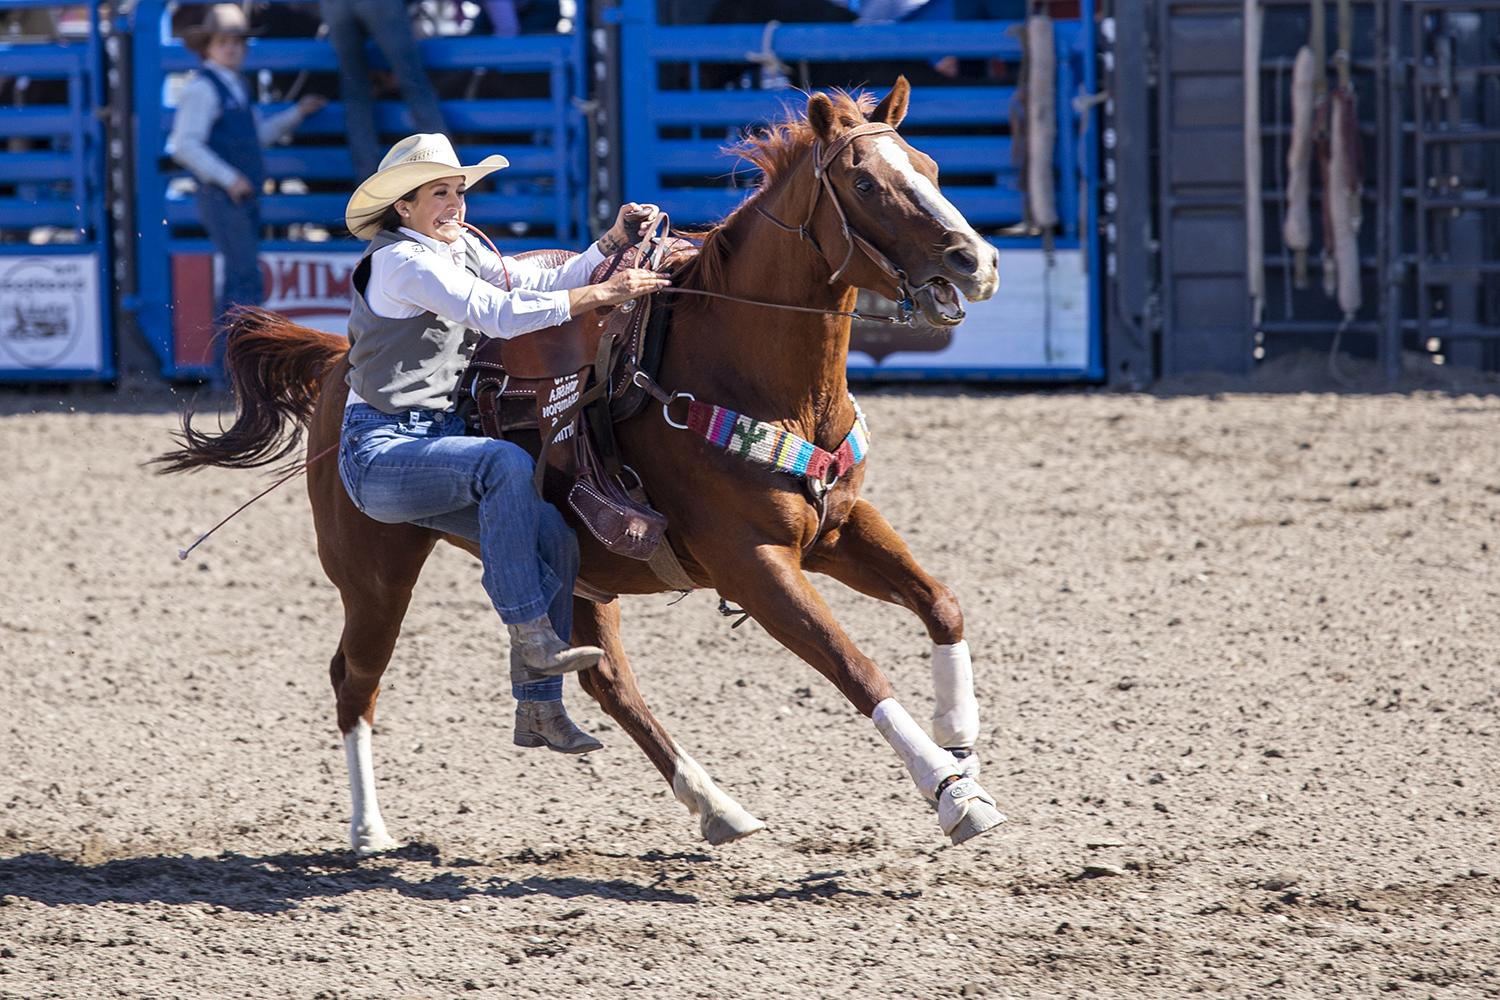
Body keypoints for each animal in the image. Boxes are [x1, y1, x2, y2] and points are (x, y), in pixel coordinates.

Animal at [158, 80, 1008, 851]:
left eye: (930, 166)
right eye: (865, 182)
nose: (977, 259)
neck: (742, 370)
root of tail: (339, 363)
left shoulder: (838, 528)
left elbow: (942, 604)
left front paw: (961, 744)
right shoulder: (755, 564)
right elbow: (853, 666)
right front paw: (952, 794)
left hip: (577, 568)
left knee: (605, 678)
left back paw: (711, 803)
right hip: (375, 573)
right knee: (353, 679)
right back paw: (370, 829)